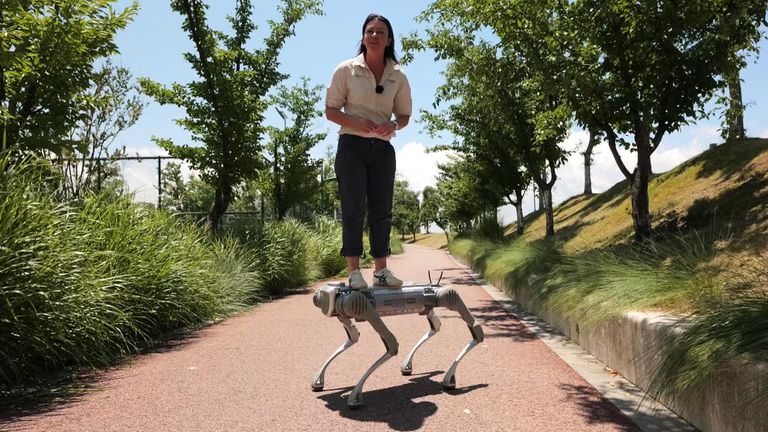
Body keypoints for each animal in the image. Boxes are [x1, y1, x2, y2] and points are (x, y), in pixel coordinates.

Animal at [308, 272, 484, 410]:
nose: (318, 298)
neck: (341, 297)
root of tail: (435, 285)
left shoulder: (356, 304)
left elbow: (391, 343)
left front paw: (355, 395)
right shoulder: (352, 310)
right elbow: (357, 337)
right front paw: (318, 380)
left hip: (443, 297)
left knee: (473, 327)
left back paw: (448, 377)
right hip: (428, 305)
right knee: (437, 326)